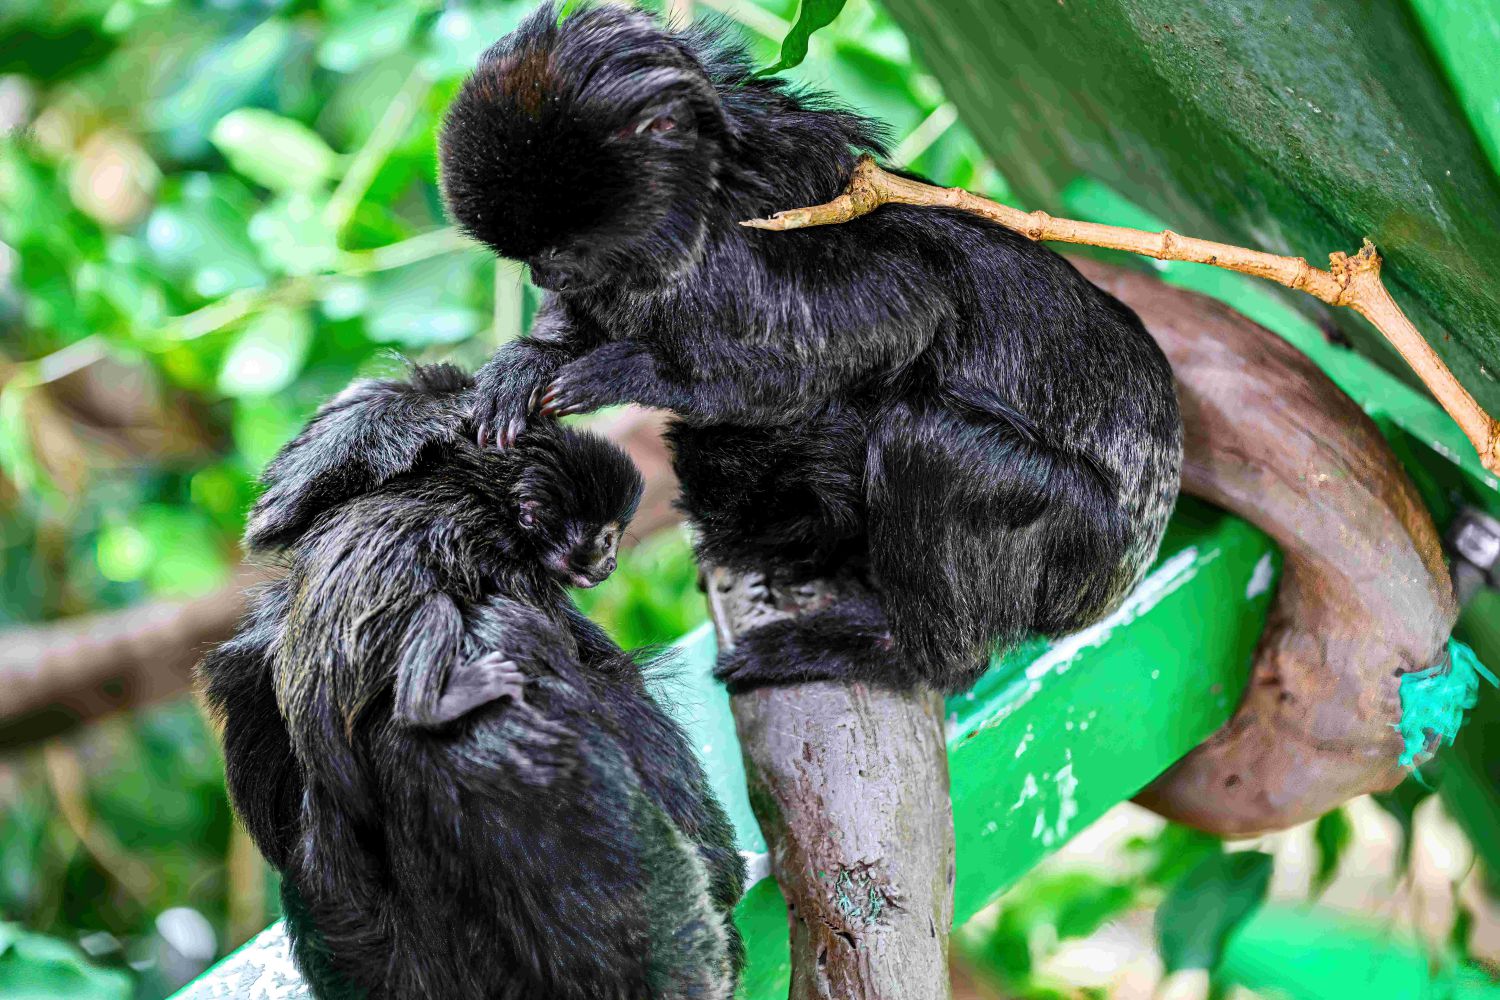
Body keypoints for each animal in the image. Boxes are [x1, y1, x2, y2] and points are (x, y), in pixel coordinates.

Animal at [438, 3, 1188, 695]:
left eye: (563, 248)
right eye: (532, 256)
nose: (543, 274)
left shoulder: (742, 258)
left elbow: (904, 315)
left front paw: (638, 373)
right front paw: (530, 362)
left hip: (1078, 546)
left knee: (928, 439)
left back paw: (906, 655)